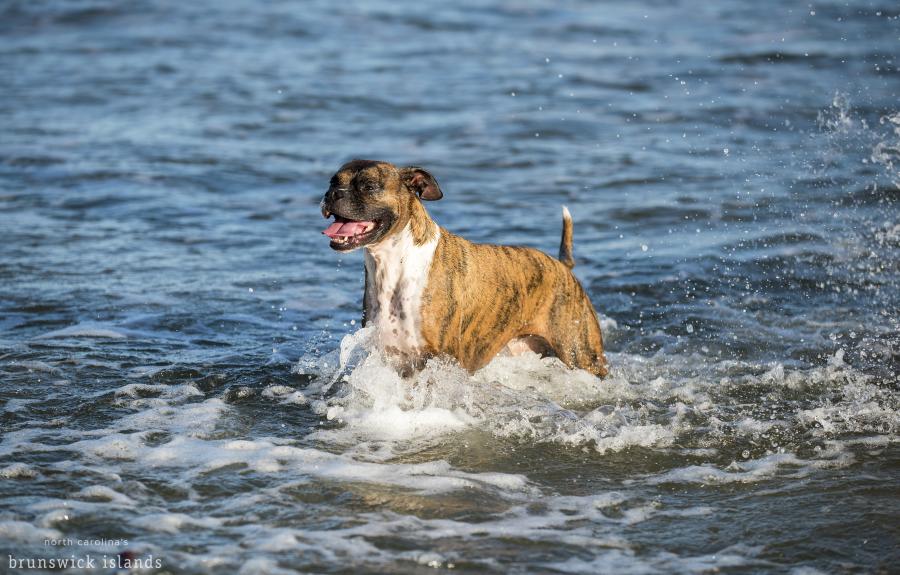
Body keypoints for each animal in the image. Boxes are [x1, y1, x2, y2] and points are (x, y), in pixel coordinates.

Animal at [320, 160, 608, 380]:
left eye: (368, 186)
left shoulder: (441, 360)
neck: (395, 265)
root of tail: (563, 266)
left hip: (583, 355)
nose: (333, 194)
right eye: (333, 182)